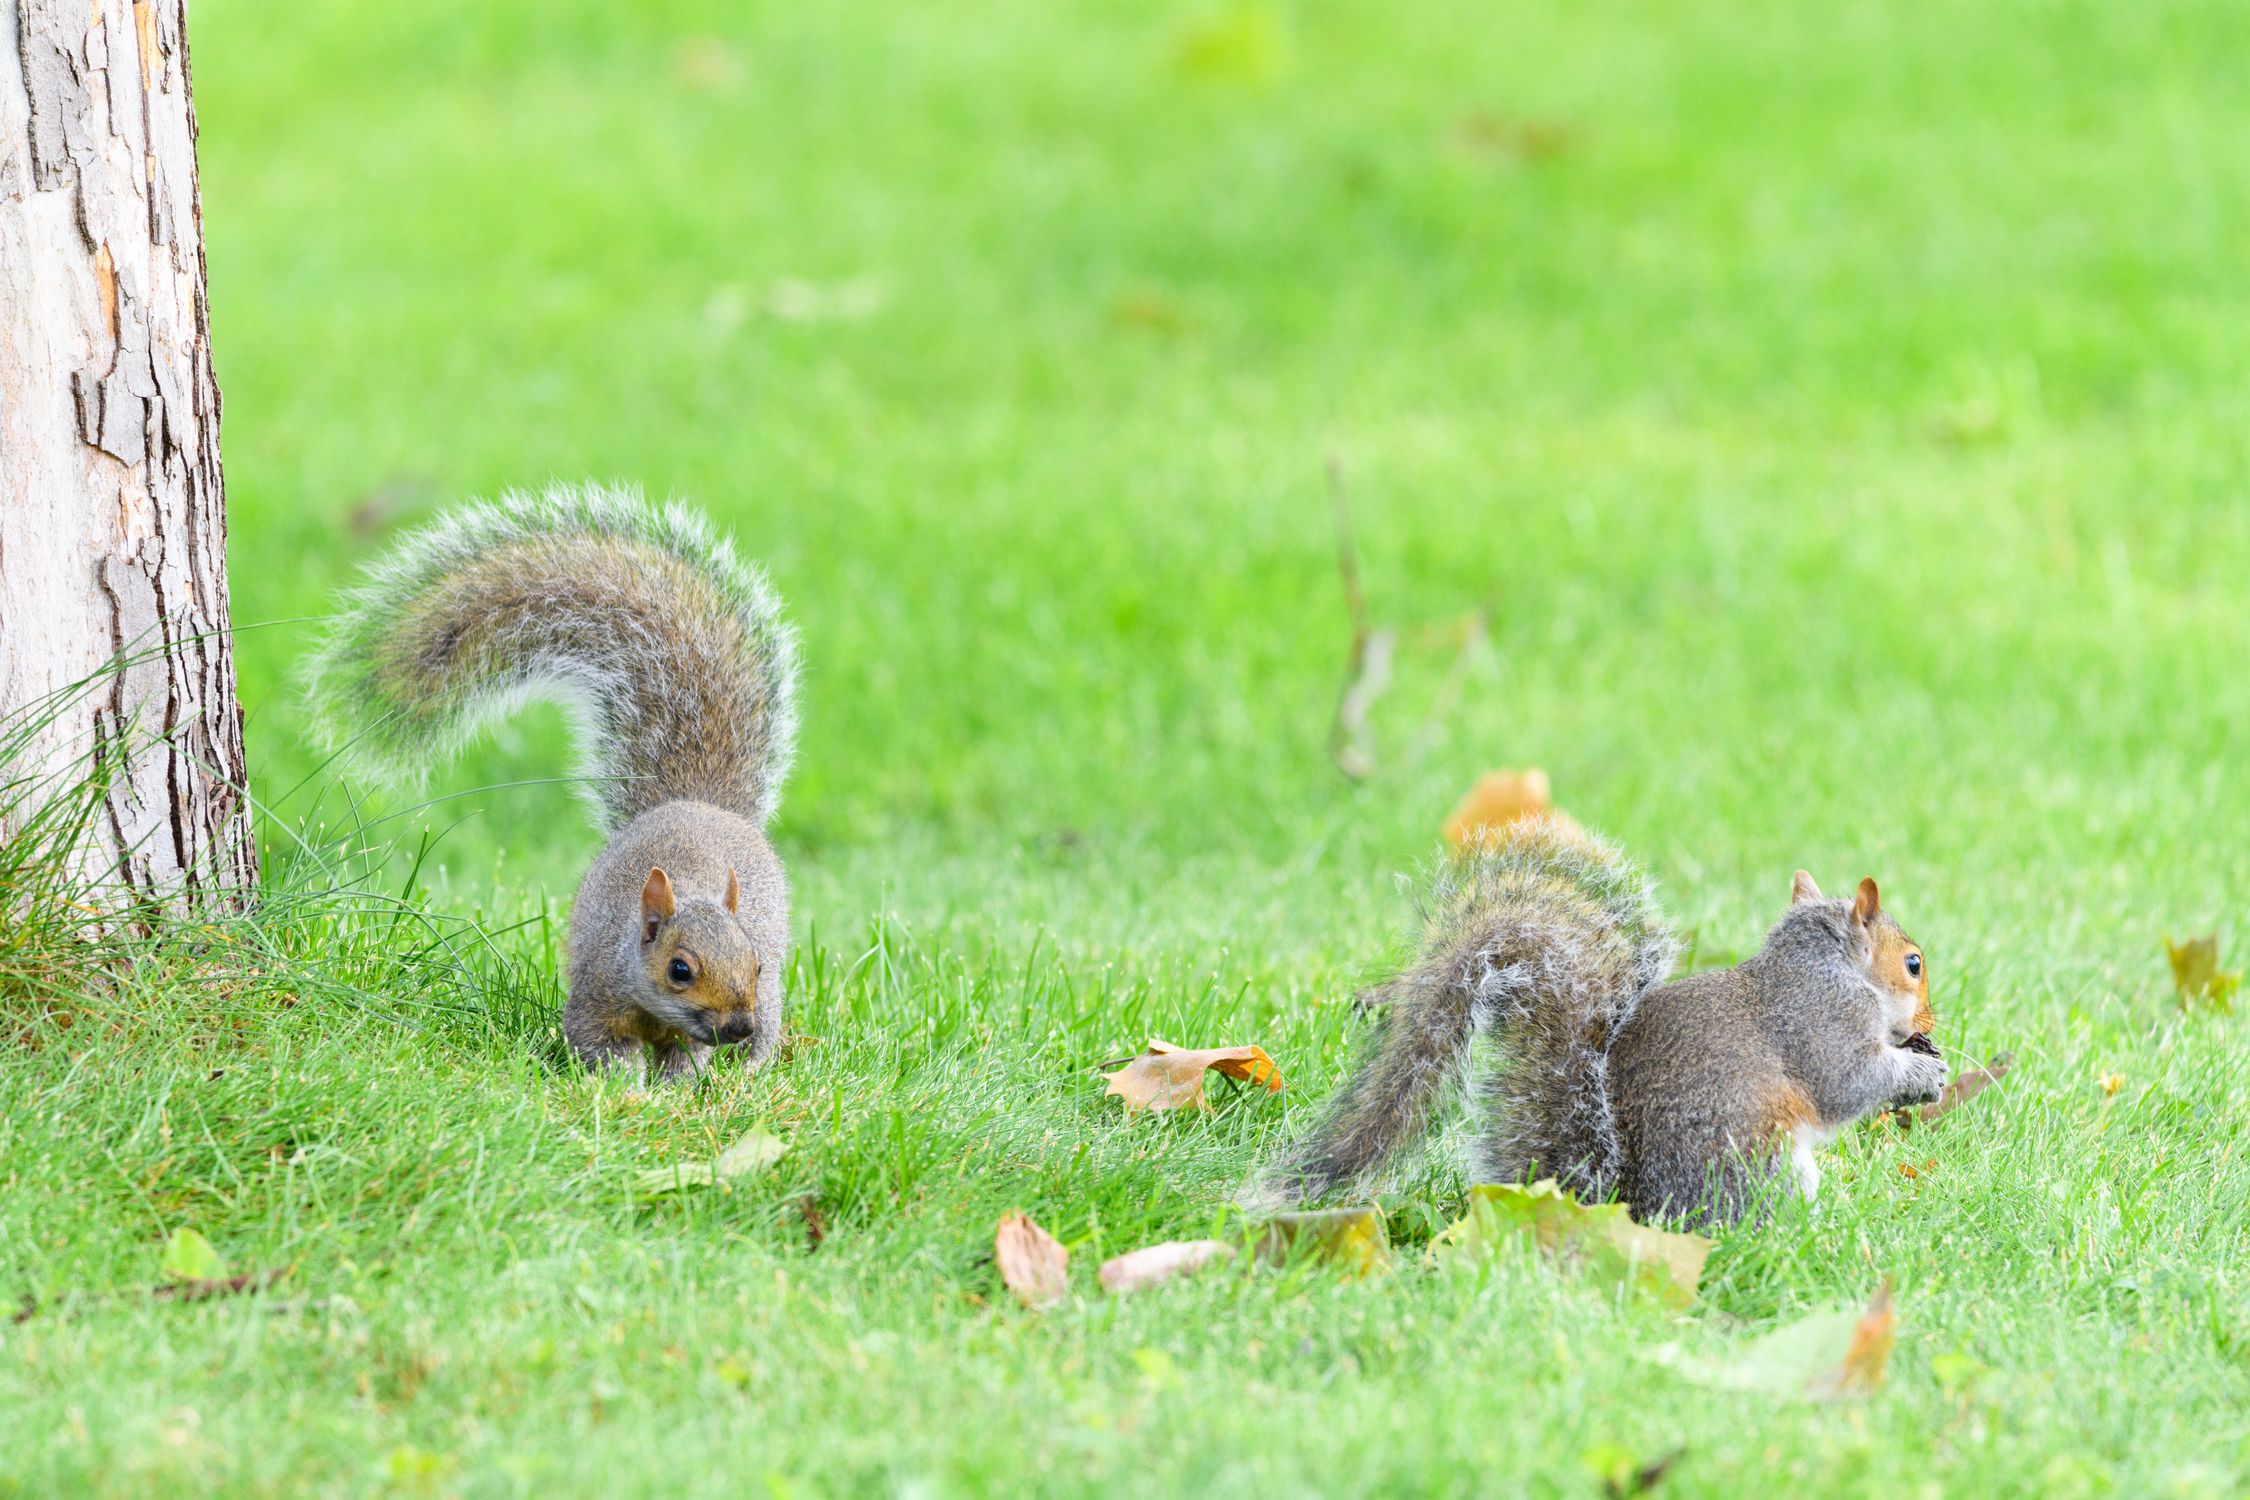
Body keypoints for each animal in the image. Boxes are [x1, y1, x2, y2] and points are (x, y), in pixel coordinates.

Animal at [306, 483, 800, 1082]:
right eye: (680, 970)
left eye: (754, 964)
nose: (735, 1029)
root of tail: (700, 805)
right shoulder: (596, 999)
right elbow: (600, 1048)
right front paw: (627, 1090)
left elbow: (684, 1059)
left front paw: (677, 1087)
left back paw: (751, 1069)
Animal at [1251, 818, 1947, 1228]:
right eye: (1913, 964)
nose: (1932, 1020)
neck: (1826, 967)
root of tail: (1628, 1210)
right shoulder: (1821, 1023)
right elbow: (1847, 1083)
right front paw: (1919, 1072)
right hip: (1761, 1162)